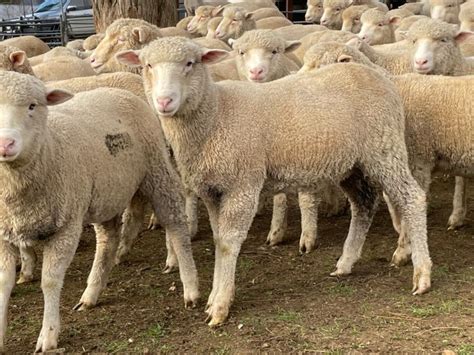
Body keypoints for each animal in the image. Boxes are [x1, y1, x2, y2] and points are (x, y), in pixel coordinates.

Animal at [0, 71, 198, 354]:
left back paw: (190, 287)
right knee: (107, 240)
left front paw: (48, 335)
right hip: (107, 194)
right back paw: (91, 293)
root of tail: (119, 90)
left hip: (157, 168)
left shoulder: (67, 227)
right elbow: (4, 282)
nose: (5, 144)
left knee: (175, 223)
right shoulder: (4, 232)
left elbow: (50, 281)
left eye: (32, 106)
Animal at [117, 36, 434, 328]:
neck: (216, 115)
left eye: (190, 63)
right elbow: (218, 239)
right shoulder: (212, 190)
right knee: (364, 205)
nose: (164, 101)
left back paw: (421, 273)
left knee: (412, 197)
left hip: (384, 148)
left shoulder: (242, 183)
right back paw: (346, 263)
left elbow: (228, 244)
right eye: (147, 65)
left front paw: (220, 306)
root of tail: (378, 74)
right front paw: (213, 298)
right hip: (351, 165)